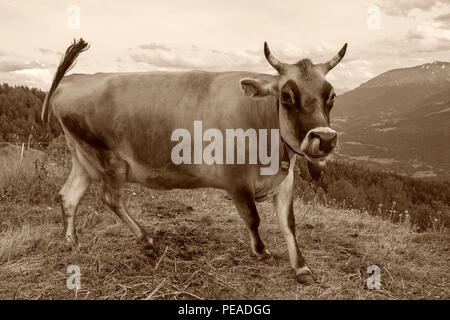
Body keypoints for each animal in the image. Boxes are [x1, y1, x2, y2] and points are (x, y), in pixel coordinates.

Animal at [42, 38, 346, 284]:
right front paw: (261, 252)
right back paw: (145, 239)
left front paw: (302, 268)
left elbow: (288, 223)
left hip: (83, 159)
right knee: (110, 198)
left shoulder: (286, 179)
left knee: (68, 196)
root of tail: (75, 79)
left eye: (332, 96)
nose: (325, 138)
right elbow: (253, 218)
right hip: (109, 158)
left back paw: (72, 243)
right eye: (286, 96)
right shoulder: (235, 179)